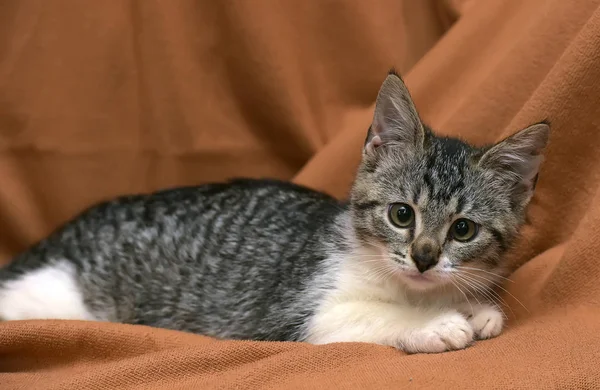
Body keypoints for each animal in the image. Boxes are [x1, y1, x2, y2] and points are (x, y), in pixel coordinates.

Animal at [0, 71, 548, 354]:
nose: (424, 257)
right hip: (58, 296)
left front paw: (475, 308)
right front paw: (436, 323)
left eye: (462, 229)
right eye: (401, 215)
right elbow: (357, 316)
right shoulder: (285, 317)